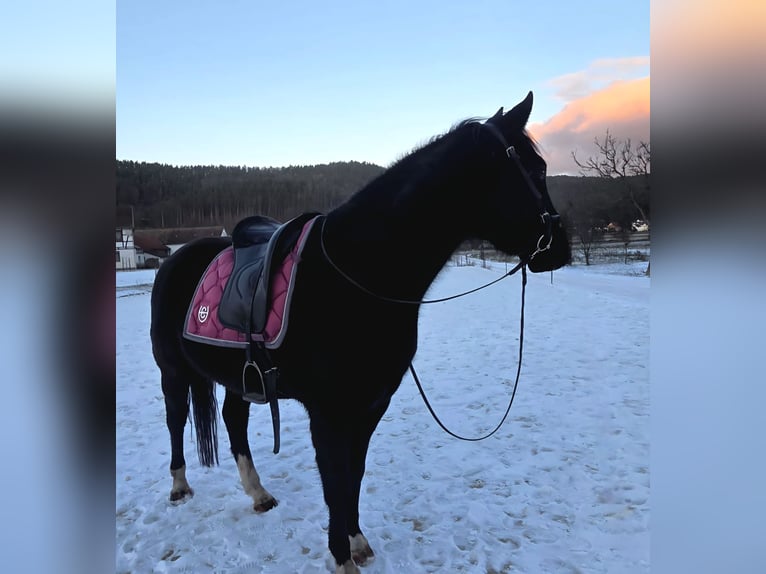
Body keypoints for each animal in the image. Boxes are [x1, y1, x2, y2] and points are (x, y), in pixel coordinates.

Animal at [149, 92, 571, 573]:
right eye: (534, 171)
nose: (560, 248)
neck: (356, 274)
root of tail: (176, 258)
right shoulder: (329, 413)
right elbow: (335, 483)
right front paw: (341, 558)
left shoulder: (369, 406)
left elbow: (353, 477)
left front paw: (355, 541)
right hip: (172, 371)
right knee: (176, 419)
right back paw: (180, 487)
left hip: (241, 377)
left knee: (233, 420)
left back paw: (258, 494)